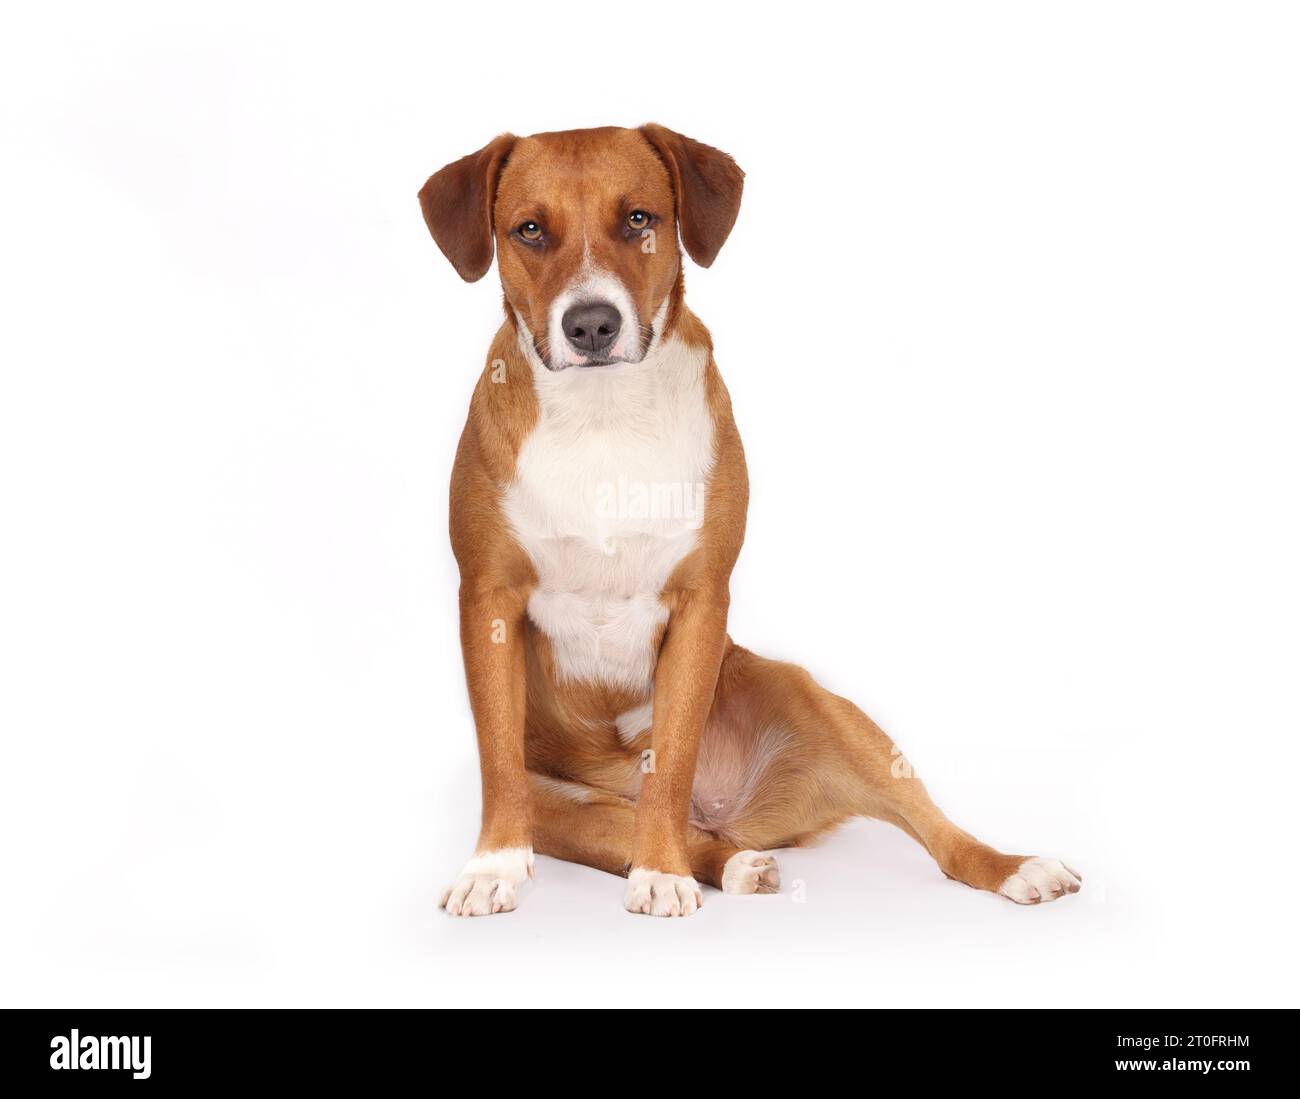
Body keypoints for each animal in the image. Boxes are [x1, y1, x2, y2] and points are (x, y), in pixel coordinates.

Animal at [421, 126, 1081, 915]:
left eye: (638, 219)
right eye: (529, 230)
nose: (591, 324)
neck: (602, 416)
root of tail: (730, 812)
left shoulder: (700, 602)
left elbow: (672, 756)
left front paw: (661, 871)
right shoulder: (488, 597)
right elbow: (498, 754)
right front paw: (494, 866)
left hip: (825, 710)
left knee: (940, 837)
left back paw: (1013, 866)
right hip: (567, 812)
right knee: (633, 821)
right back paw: (727, 860)